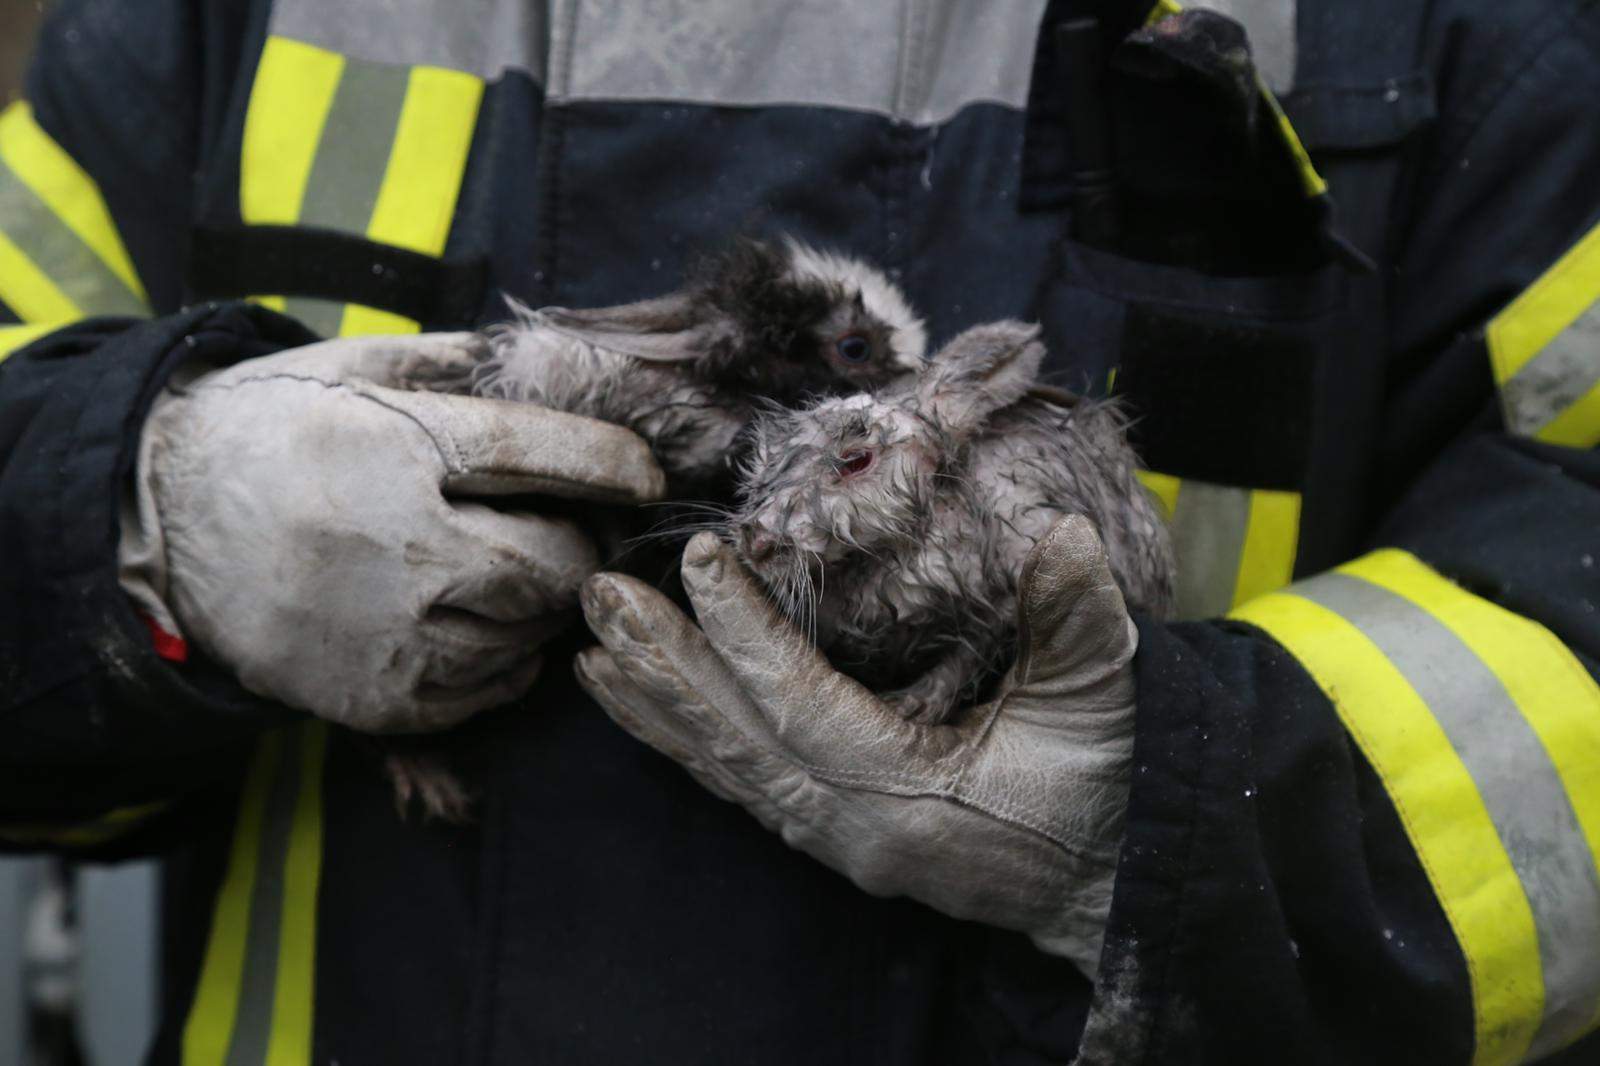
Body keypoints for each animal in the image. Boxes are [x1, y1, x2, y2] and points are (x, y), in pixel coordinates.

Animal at [726, 315, 1177, 723]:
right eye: (761, 455)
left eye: (856, 460)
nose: (756, 541)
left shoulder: (1007, 597)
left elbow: (967, 656)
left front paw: (911, 708)